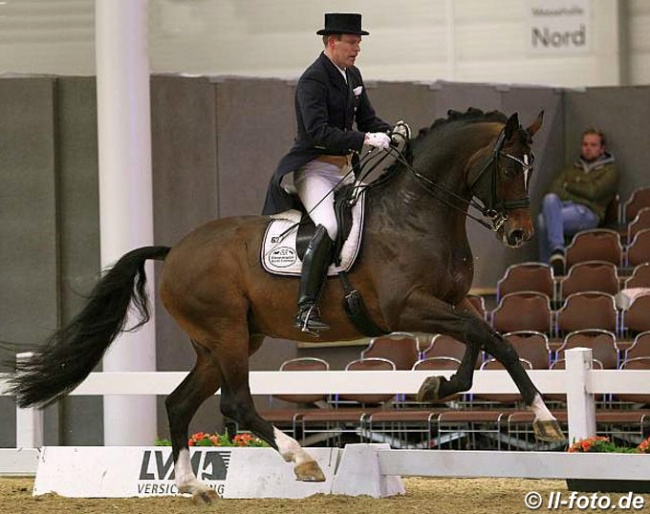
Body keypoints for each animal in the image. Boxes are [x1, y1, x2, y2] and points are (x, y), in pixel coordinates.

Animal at [5, 107, 560, 500]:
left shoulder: (453, 298)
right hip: (227, 334)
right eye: (508, 167)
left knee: (180, 401)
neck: (416, 213)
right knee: (235, 403)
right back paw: (302, 460)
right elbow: (490, 338)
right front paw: (547, 421)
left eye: (532, 167)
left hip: (226, 341)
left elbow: (487, 339)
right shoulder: (406, 308)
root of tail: (176, 248)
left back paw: (195, 486)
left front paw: (435, 386)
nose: (516, 233)